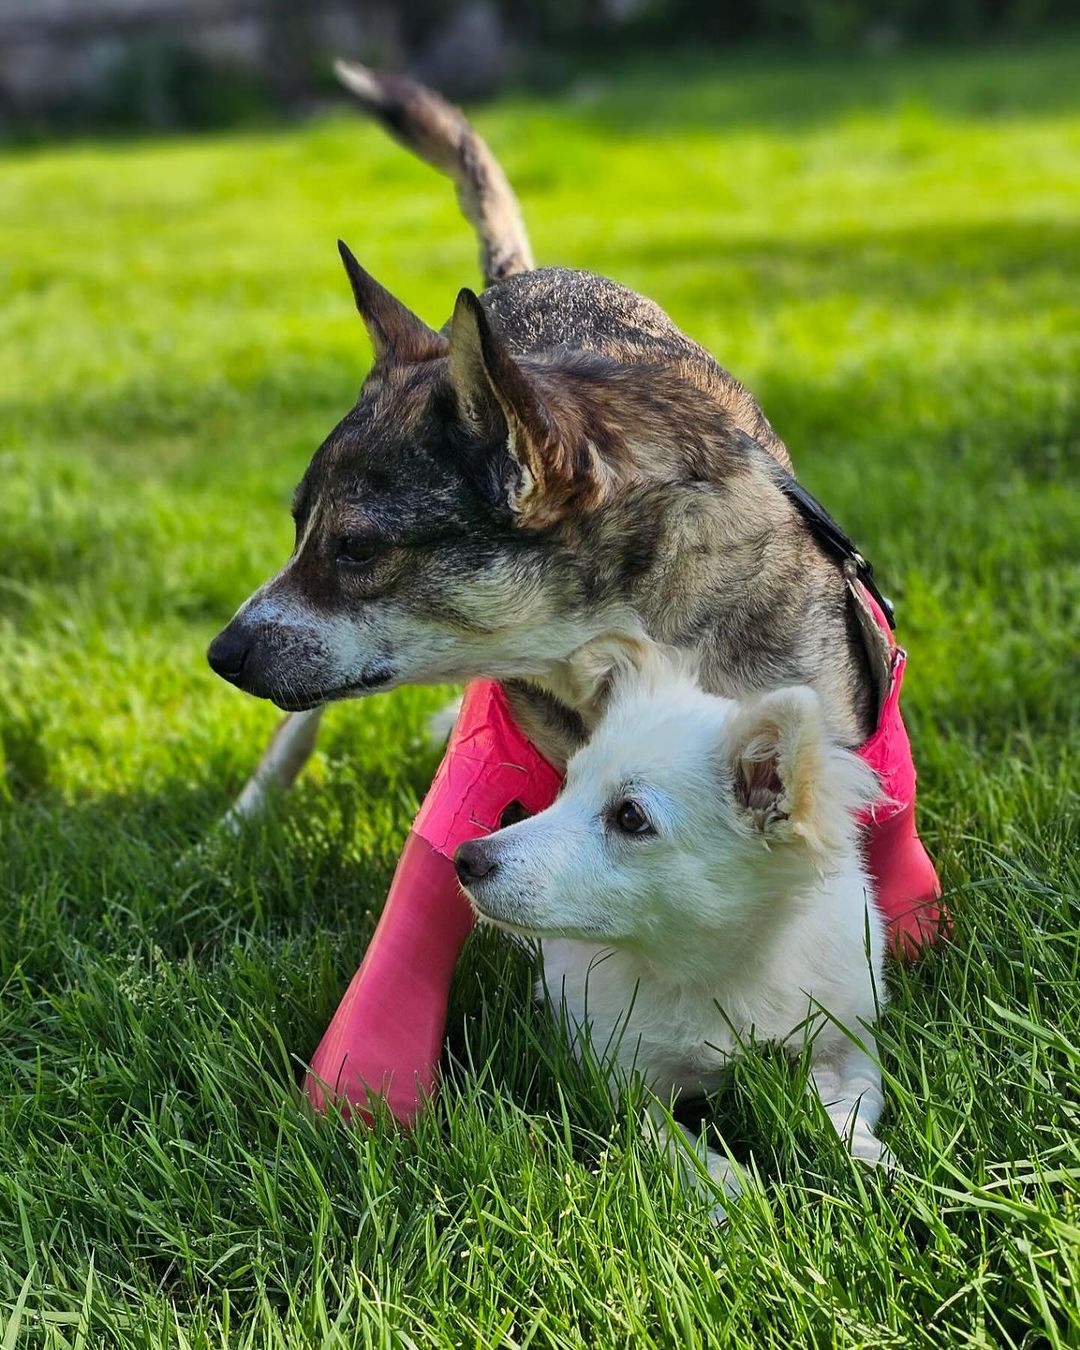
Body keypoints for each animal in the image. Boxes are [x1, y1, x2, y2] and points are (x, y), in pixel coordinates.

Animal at [456, 642, 896, 1215]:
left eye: (630, 817)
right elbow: (674, 1142)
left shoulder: (846, 1036)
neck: (711, 970)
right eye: (567, 786)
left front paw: (863, 1158)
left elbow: (851, 1102)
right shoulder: (622, 1083)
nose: (466, 858)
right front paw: (732, 1190)